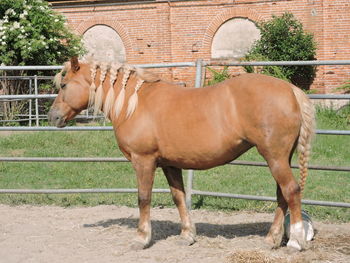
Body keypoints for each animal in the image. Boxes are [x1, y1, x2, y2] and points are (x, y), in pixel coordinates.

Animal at [48, 57, 314, 252]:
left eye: (64, 85)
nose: (53, 117)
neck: (135, 103)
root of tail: (291, 89)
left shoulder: (143, 161)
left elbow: (143, 198)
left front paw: (141, 238)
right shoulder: (170, 164)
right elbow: (178, 198)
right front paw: (187, 235)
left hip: (274, 157)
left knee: (291, 191)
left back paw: (294, 241)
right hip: (280, 158)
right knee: (282, 195)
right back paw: (272, 239)